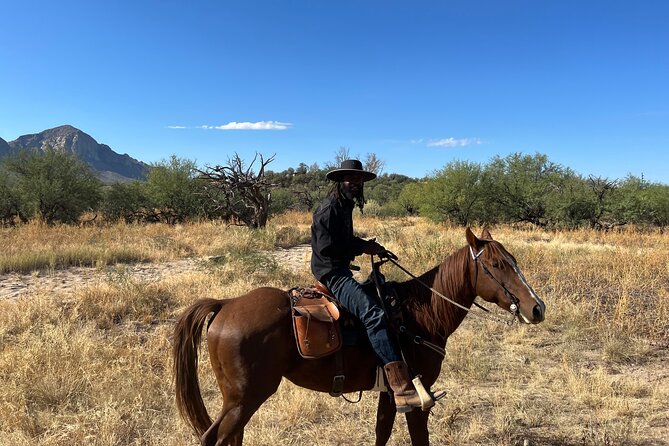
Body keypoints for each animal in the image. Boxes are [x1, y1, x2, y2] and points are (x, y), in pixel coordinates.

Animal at [175, 228, 544, 444]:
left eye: (512, 260)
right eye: (496, 265)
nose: (537, 307)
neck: (421, 314)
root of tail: (225, 304)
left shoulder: (392, 393)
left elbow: (382, 431)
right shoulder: (419, 397)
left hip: (239, 402)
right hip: (244, 399)